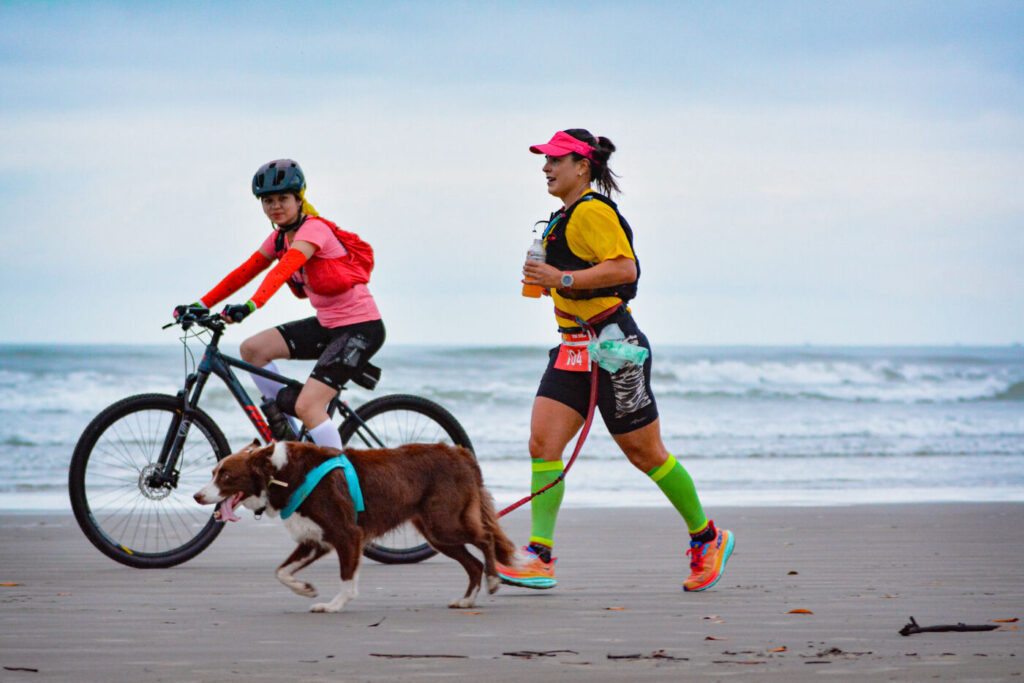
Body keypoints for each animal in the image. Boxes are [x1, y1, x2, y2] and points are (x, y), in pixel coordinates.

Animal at [192, 444, 516, 614]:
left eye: (226, 475)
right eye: (213, 472)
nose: (196, 496)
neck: (282, 474)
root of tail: (461, 453)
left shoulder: (348, 534)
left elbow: (346, 576)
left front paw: (335, 604)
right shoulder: (316, 539)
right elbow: (281, 571)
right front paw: (305, 588)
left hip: (444, 523)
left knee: (486, 539)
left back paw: (493, 580)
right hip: (436, 533)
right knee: (473, 563)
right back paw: (468, 599)